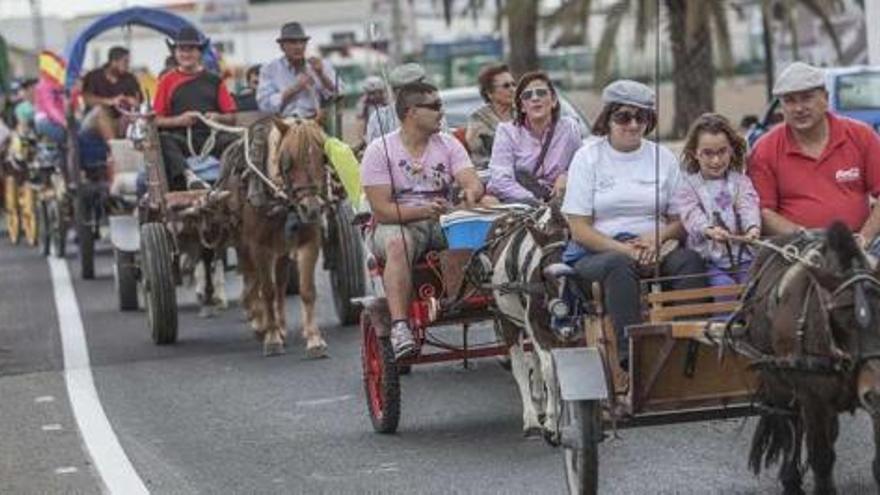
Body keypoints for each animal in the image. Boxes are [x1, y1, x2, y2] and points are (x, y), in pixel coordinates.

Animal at [220, 116, 330, 356]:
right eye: (288, 161)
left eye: (323, 157)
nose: (311, 209)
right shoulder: (259, 246)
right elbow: (267, 291)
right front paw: (271, 338)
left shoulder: (310, 241)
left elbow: (306, 290)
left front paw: (314, 339)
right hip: (243, 242)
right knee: (254, 278)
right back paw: (259, 320)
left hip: (281, 248)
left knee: (279, 283)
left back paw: (280, 325)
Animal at [484, 203, 576, 444]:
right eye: (545, 275)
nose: (565, 319)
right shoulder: (537, 326)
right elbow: (550, 370)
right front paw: (552, 425)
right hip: (507, 319)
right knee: (520, 367)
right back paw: (533, 421)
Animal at [736, 224, 880, 495]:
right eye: (842, 316)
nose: (877, 391)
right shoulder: (813, 397)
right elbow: (821, 457)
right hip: (776, 379)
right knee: (790, 424)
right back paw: (791, 479)